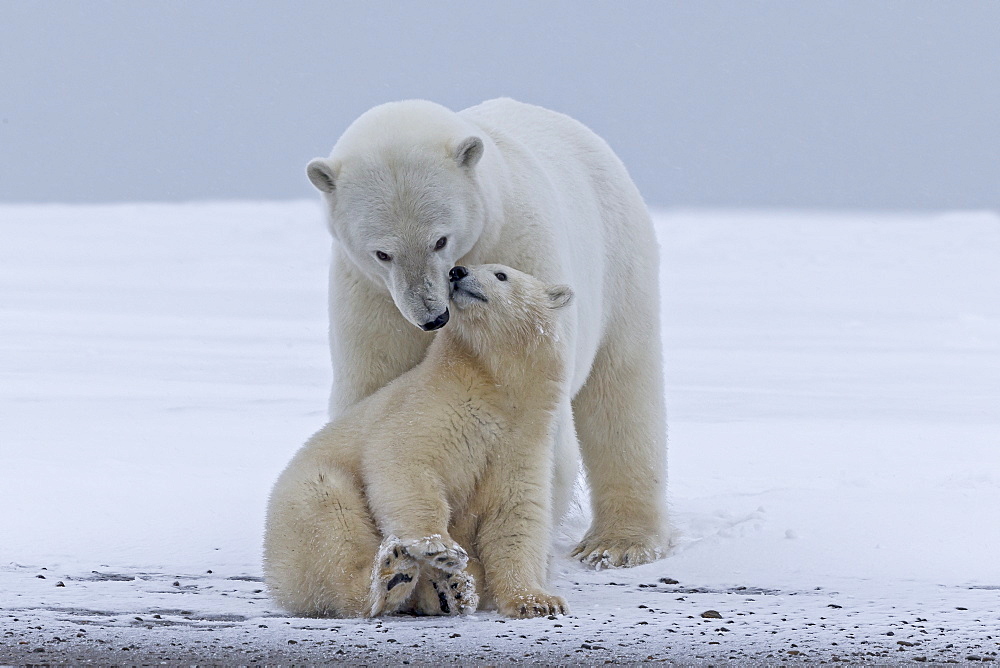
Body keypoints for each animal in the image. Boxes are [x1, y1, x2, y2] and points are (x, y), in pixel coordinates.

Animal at [304, 96, 664, 568]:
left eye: (440, 240)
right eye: (382, 252)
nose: (432, 317)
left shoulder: (519, 252)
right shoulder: (371, 298)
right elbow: (374, 401)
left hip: (620, 261)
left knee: (621, 393)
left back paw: (618, 543)